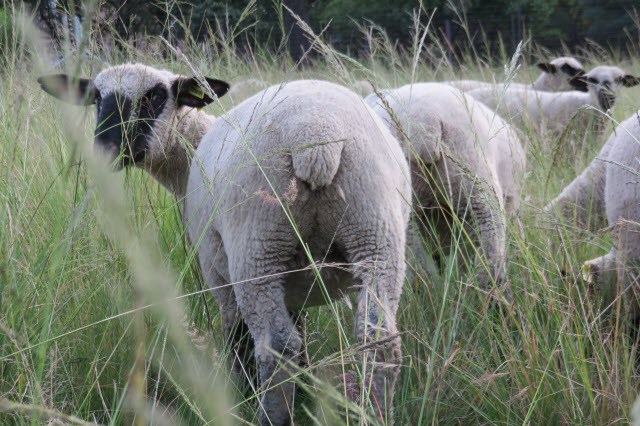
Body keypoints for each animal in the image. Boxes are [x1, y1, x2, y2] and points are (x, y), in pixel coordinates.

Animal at [38, 63, 410, 426]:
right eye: (96, 97)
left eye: (155, 96)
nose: (105, 150)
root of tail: (316, 140)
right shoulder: (294, 282)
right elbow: (301, 333)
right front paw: (303, 391)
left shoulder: (217, 271)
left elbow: (237, 338)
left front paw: (242, 394)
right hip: (375, 237)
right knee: (376, 338)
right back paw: (375, 412)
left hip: (257, 247)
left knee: (275, 346)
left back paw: (268, 415)